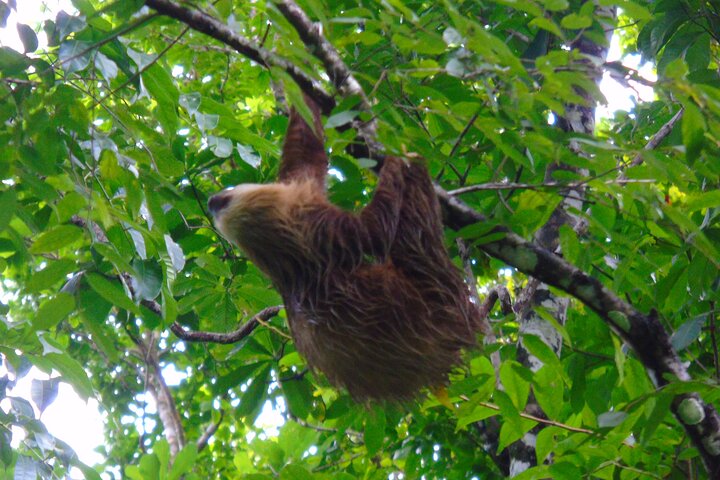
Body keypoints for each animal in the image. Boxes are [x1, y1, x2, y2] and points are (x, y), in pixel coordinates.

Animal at [208, 97, 478, 401]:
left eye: (224, 198)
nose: (211, 201)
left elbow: (304, 148)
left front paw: (299, 92)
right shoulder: (322, 227)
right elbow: (374, 231)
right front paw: (394, 162)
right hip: (433, 284)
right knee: (418, 230)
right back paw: (414, 163)